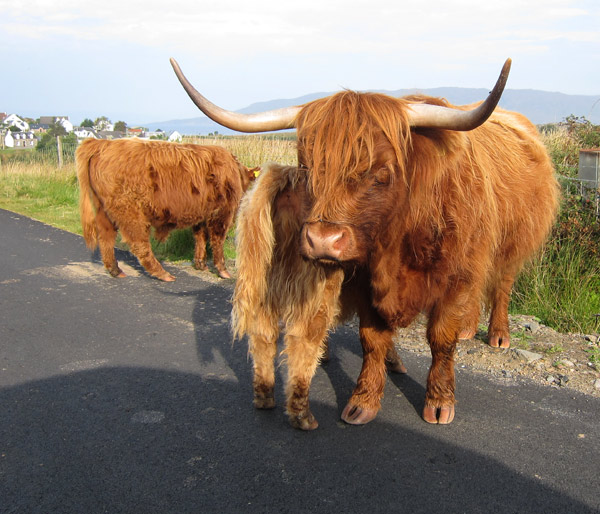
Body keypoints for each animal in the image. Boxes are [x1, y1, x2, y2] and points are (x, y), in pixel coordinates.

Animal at [76, 137, 256, 280]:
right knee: (138, 243)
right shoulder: (222, 213)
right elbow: (217, 240)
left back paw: (115, 270)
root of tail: (103, 143)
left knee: (106, 237)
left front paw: (200, 264)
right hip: (130, 211)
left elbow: (200, 237)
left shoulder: (202, 214)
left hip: (103, 210)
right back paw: (163, 274)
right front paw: (223, 271)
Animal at [232, 163, 406, 428]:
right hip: (315, 285)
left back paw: (264, 397)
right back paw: (302, 416)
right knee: (303, 338)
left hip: (264, 285)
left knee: (263, 334)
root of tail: (286, 174)